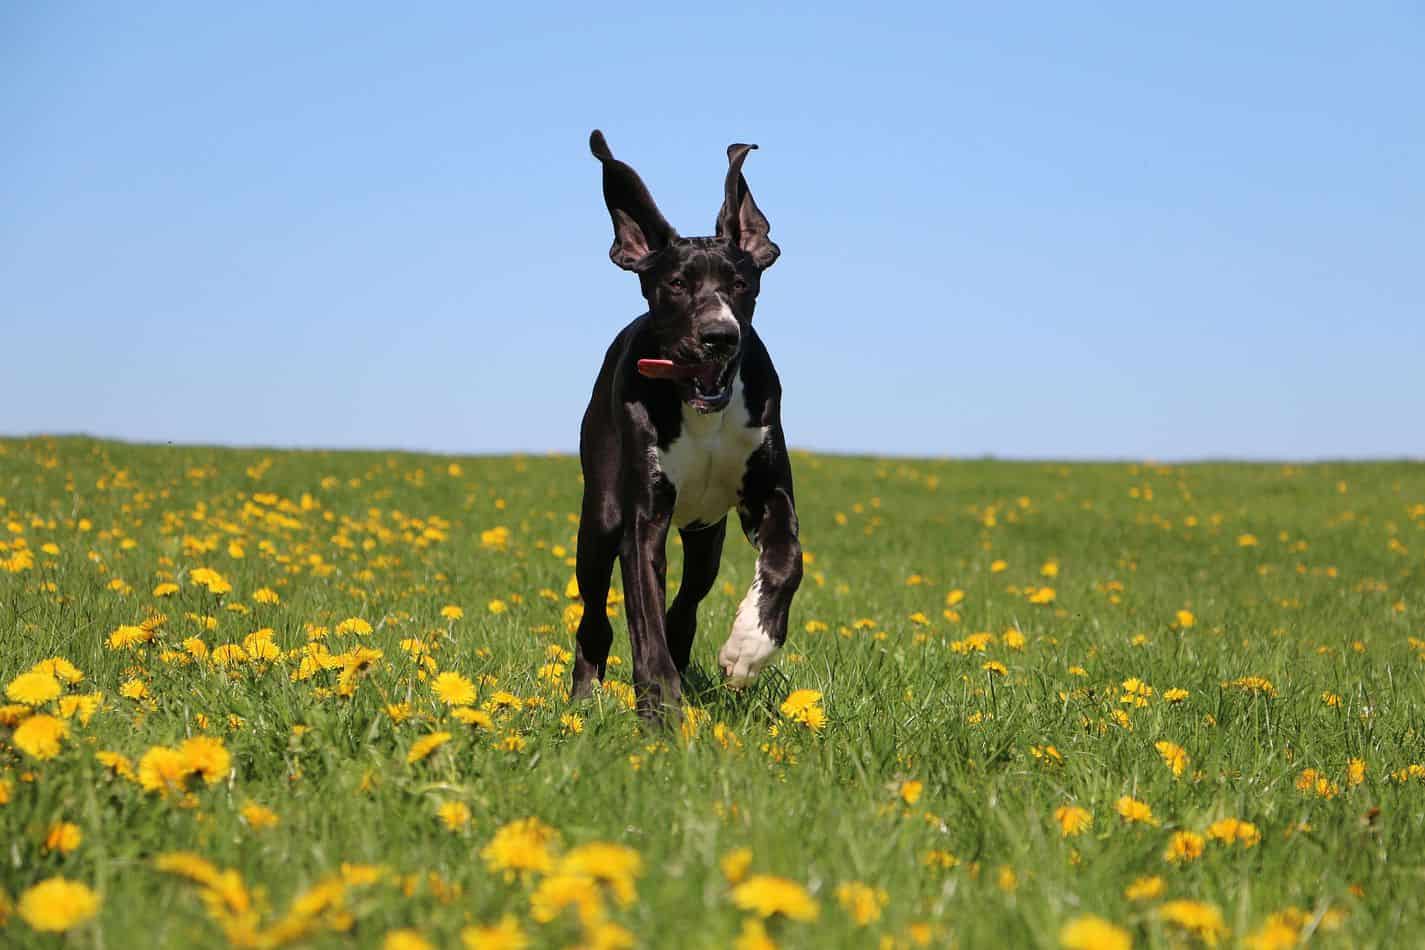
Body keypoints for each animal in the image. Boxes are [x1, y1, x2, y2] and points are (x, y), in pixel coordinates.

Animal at [572, 130, 809, 717]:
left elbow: (787, 560)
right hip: (598, 518)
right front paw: (660, 710)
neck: (705, 415)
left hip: (707, 536)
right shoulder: (642, 519)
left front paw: (749, 647)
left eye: (742, 283)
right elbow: (644, 619)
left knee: (686, 604)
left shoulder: (769, 493)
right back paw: (583, 698)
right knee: (595, 618)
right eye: (676, 283)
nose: (719, 336)